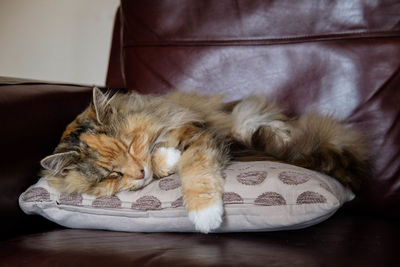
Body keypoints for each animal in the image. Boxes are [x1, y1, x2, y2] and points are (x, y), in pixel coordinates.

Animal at [39, 88, 368, 234]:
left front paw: (206, 216)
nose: (140, 172)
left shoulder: (197, 132)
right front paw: (167, 159)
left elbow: (195, 170)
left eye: (130, 145)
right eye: (112, 175)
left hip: (248, 119)